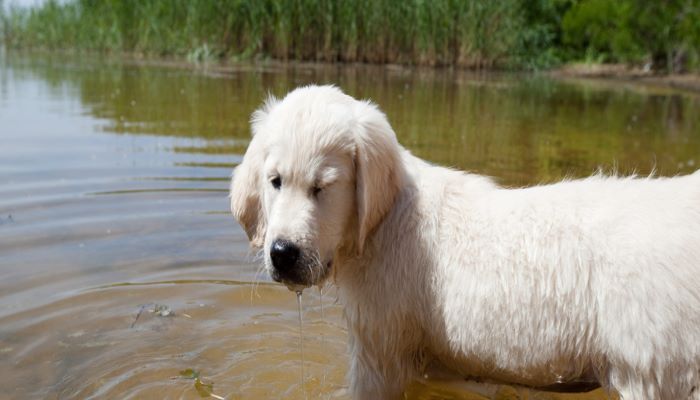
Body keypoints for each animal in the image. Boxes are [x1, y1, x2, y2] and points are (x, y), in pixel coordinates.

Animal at [231, 85, 700, 400]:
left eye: (322, 188)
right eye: (275, 182)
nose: (282, 253)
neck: (380, 223)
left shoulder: (379, 350)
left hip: (653, 368)